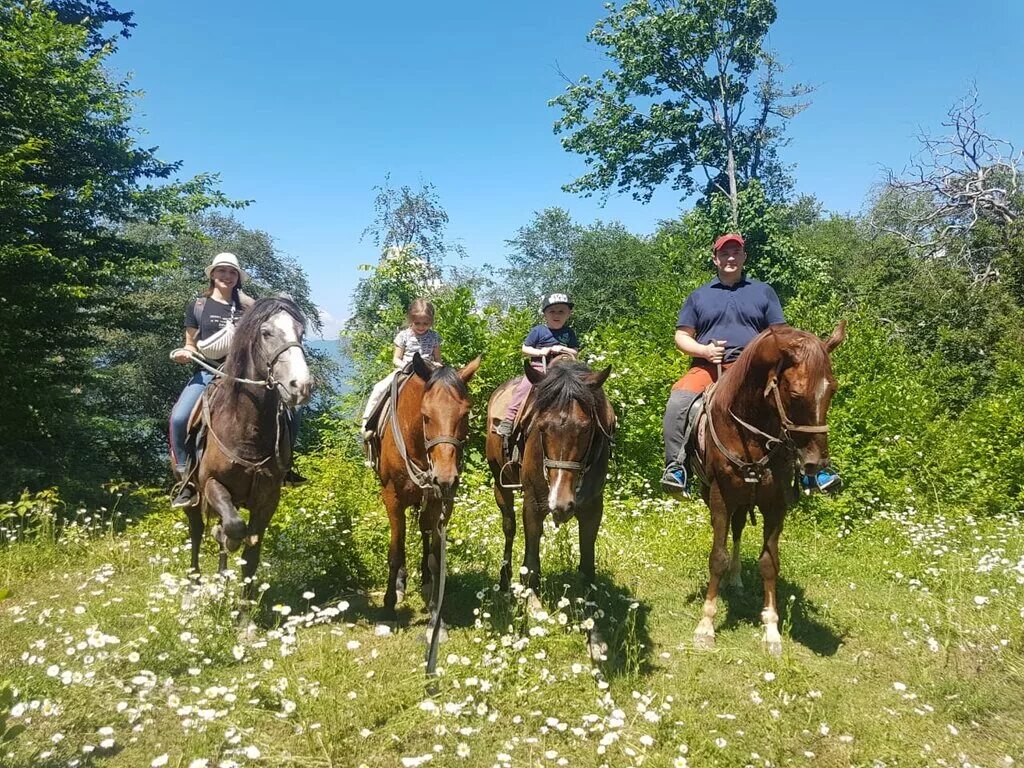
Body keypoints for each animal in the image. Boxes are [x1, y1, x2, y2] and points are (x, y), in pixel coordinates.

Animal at [185, 296, 311, 593]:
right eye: (266, 333)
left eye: (301, 333)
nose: (301, 385)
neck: (247, 430)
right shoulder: (211, 483)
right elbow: (233, 527)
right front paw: (227, 537)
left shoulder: (268, 498)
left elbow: (251, 554)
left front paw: (246, 606)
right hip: (192, 495)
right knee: (196, 531)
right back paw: (193, 585)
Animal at [376, 354, 479, 643]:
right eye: (425, 416)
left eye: (465, 413)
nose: (446, 478)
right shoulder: (392, 497)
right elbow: (395, 552)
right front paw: (388, 607)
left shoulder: (439, 500)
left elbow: (435, 556)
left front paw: (435, 616)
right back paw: (401, 584)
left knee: (423, 531)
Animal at [483, 360, 610, 602]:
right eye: (541, 427)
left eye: (586, 428)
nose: (560, 503)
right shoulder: (533, 504)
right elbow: (531, 568)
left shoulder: (593, 508)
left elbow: (587, 567)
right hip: (500, 486)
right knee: (509, 527)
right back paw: (504, 580)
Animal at [688, 319, 847, 655]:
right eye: (796, 394)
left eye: (833, 390)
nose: (816, 463)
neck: (750, 433)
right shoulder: (720, 497)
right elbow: (717, 558)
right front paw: (706, 626)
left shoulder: (776, 503)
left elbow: (769, 563)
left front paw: (772, 630)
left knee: (737, 530)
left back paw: (736, 580)